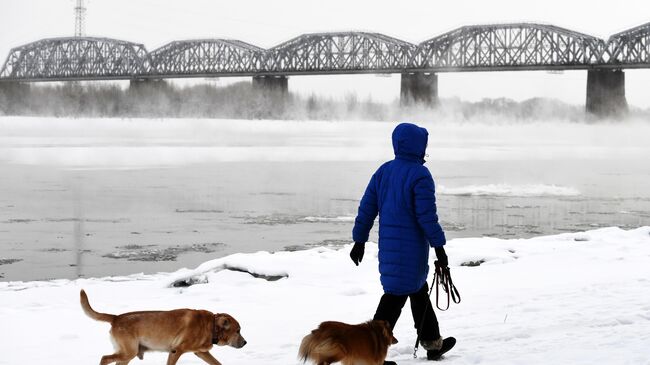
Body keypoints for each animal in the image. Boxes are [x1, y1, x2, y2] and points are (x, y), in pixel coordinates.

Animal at [79, 288, 246, 362]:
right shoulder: (176, 351)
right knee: (105, 358)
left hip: (128, 354)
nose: (245, 343)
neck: (210, 326)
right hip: (128, 352)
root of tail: (116, 318)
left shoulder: (201, 353)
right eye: (237, 331)